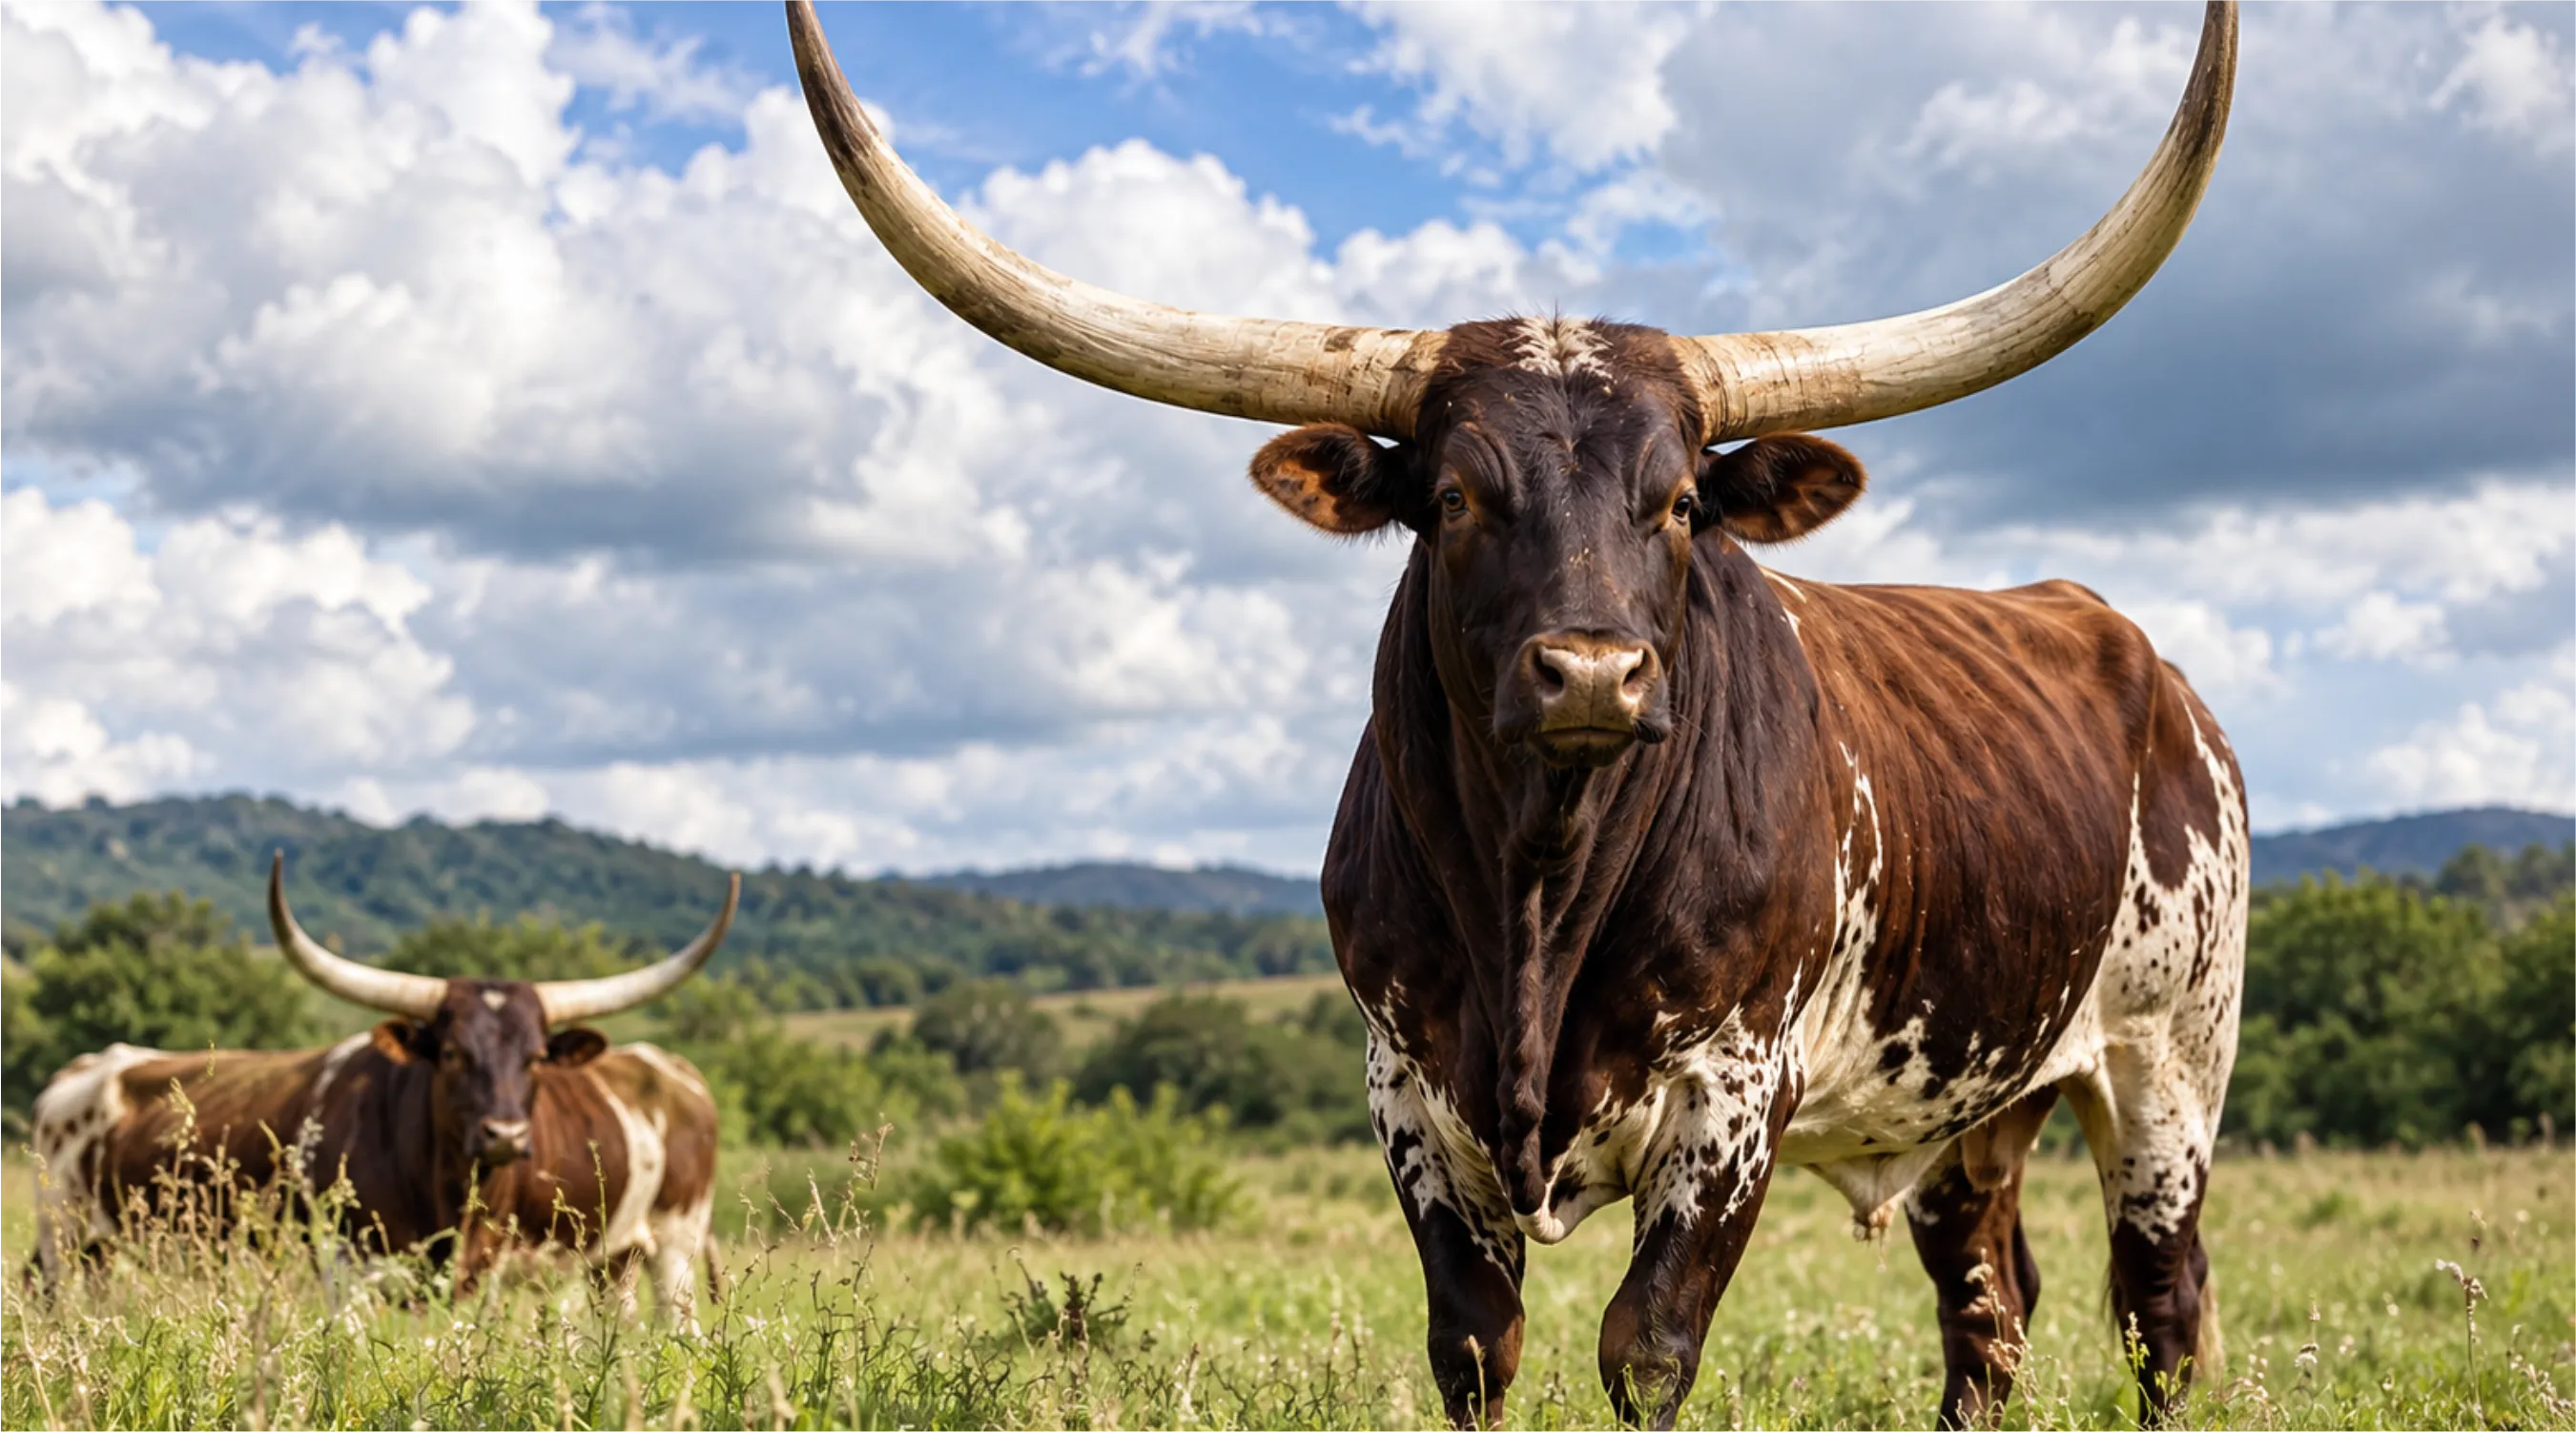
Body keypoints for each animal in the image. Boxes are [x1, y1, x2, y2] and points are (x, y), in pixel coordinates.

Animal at [30, 855, 737, 1324]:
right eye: (451, 1052)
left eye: (537, 1057)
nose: (505, 1134)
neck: (444, 1187)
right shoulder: (349, 1270)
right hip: (68, 1239)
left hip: (662, 1249)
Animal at [785, 0, 2246, 1426]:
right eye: (1453, 498)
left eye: (1678, 501)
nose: (1593, 672)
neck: (1541, 888)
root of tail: (2144, 664)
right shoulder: (1407, 1091)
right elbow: (1475, 1346)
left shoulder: (1733, 1098)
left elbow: (1646, 1347)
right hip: (1969, 1107)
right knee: (1989, 1303)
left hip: (2171, 1061)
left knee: (2160, 1307)